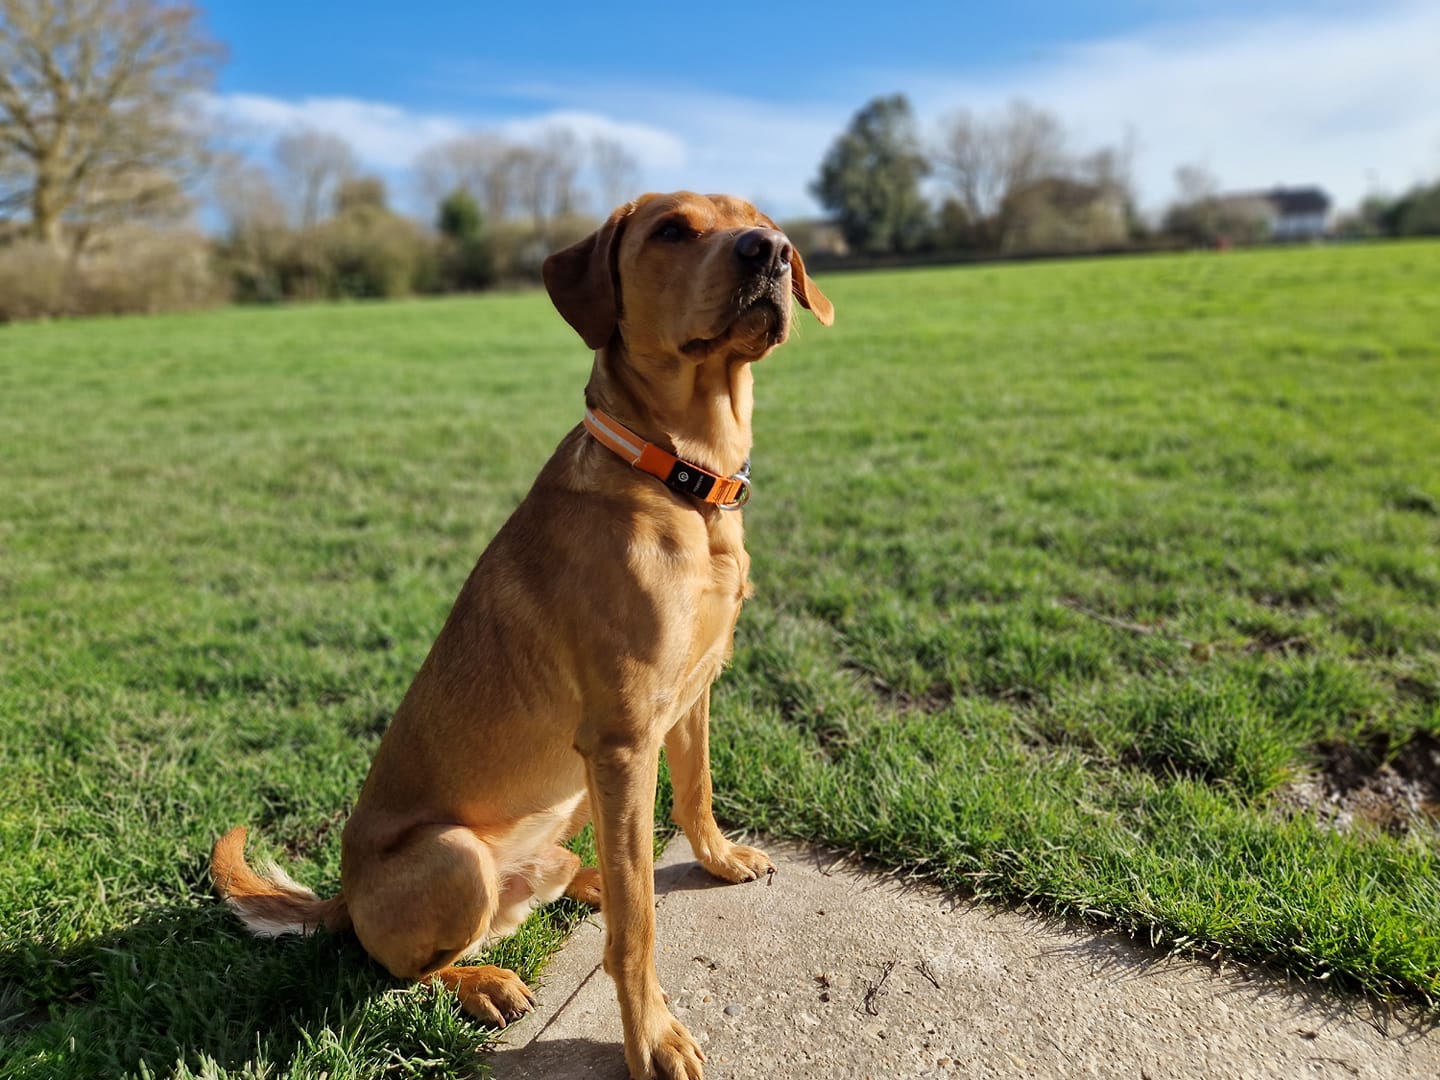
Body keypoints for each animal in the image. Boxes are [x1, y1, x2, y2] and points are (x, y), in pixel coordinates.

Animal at [205, 190, 835, 1077]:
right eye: (672, 230)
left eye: (764, 222)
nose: (770, 251)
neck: (681, 483)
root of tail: (344, 899)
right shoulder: (623, 740)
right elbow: (638, 934)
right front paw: (653, 1038)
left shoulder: (692, 693)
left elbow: (698, 791)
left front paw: (717, 859)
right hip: (460, 855)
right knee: (396, 969)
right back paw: (484, 981)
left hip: (568, 801)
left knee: (577, 877)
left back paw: (590, 879)